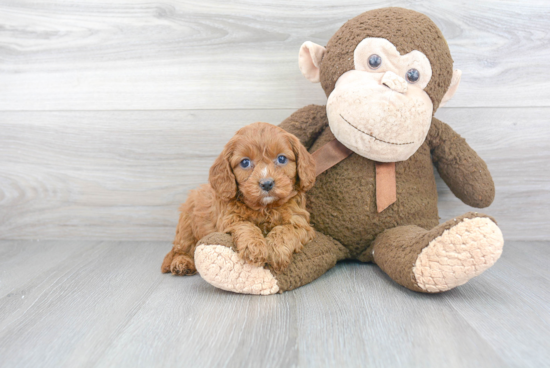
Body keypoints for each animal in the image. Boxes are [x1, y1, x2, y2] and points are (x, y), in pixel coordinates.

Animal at [162, 122, 316, 274]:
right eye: (245, 163)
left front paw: (276, 250)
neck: (265, 208)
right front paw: (254, 247)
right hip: (186, 227)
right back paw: (182, 263)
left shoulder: (301, 224)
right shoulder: (229, 219)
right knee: (181, 249)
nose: (266, 183)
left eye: (281, 159)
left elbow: (286, 230)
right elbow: (246, 225)